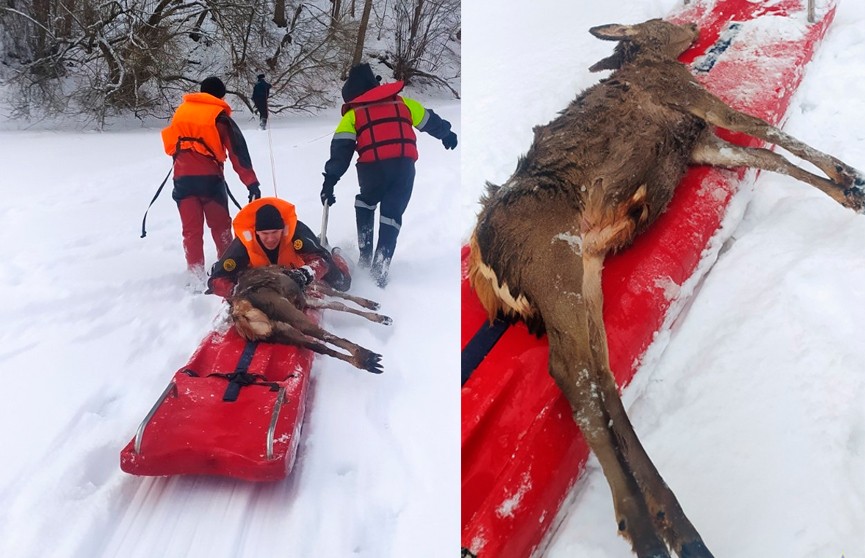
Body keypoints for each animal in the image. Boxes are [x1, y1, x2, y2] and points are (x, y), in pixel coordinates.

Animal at [470, 17, 860, 558]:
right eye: (662, 21)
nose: (693, 22)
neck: (649, 61)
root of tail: (481, 261)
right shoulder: (694, 99)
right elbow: (763, 129)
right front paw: (848, 174)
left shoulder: (701, 142)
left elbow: (767, 154)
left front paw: (845, 190)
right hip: (553, 265)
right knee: (572, 374)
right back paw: (645, 525)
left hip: (585, 273)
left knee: (598, 372)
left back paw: (670, 520)